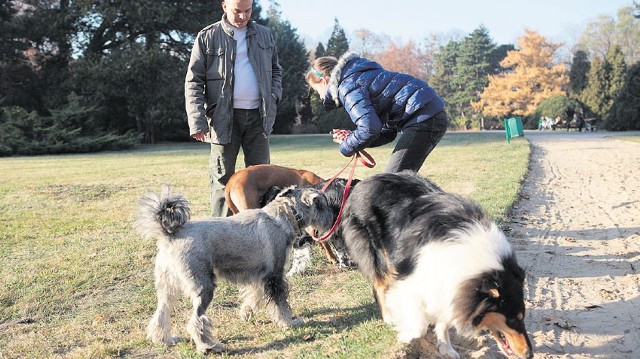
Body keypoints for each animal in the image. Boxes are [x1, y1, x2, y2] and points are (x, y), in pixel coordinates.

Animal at [135, 186, 336, 354]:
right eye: (321, 203)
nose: (333, 217)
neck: (285, 215)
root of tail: (169, 236)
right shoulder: (275, 276)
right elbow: (280, 305)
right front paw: (289, 322)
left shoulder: (258, 276)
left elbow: (254, 297)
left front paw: (247, 313)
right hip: (204, 287)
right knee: (195, 321)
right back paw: (209, 347)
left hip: (167, 287)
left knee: (161, 313)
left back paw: (164, 340)